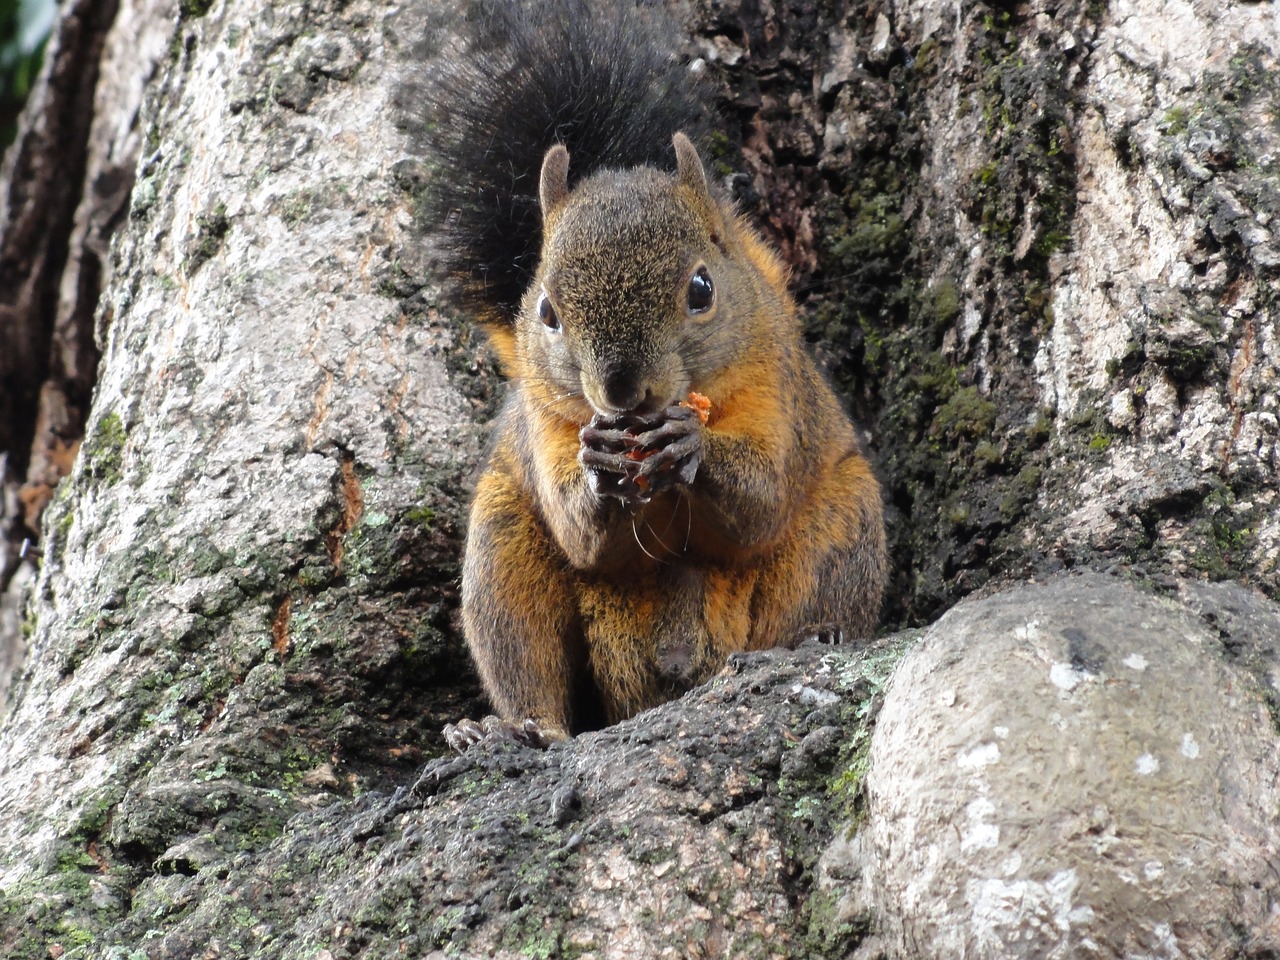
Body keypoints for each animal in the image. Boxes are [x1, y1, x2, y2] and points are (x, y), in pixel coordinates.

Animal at [412, 0, 890, 747]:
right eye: (546, 310)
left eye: (701, 289)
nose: (619, 391)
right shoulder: (546, 422)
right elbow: (581, 535)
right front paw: (602, 464)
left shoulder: (773, 385)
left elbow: (761, 502)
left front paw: (693, 446)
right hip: (502, 545)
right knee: (525, 660)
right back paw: (511, 730)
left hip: (842, 523)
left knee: (811, 585)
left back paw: (815, 639)